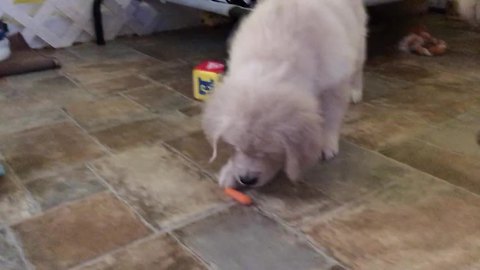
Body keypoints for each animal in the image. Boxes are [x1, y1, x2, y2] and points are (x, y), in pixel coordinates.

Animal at [202, 0, 368, 188]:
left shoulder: (334, 82)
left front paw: (327, 144)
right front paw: (230, 172)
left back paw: (355, 91)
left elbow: (332, 116)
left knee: (358, 67)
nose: (246, 180)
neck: (272, 60)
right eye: (235, 147)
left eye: (268, 153)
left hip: (358, 40)